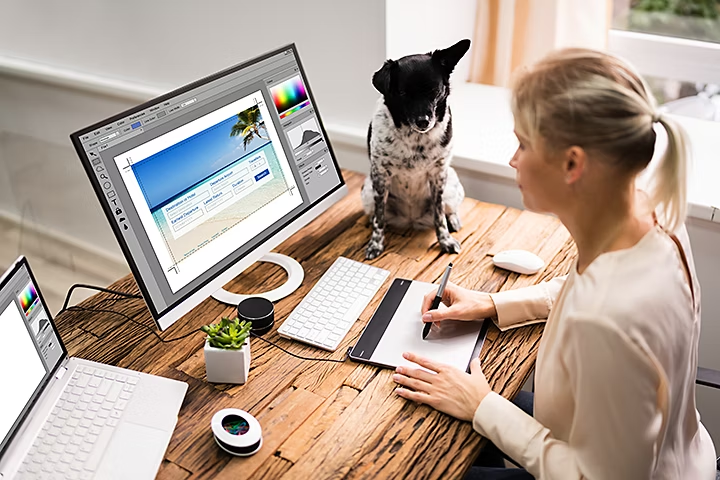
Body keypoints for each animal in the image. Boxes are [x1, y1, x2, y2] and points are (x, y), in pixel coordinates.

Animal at [362, 39, 470, 260]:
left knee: (448, 210)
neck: (415, 138)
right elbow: (379, 218)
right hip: (367, 191)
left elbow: (439, 216)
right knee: (375, 214)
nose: (423, 121)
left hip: (451, 186)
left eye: (434, 90)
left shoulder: (438, 176)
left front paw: (445, 241)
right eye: (403, 93)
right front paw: (375, 244)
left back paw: (454, 220)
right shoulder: (380, 177)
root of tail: (411, 220)